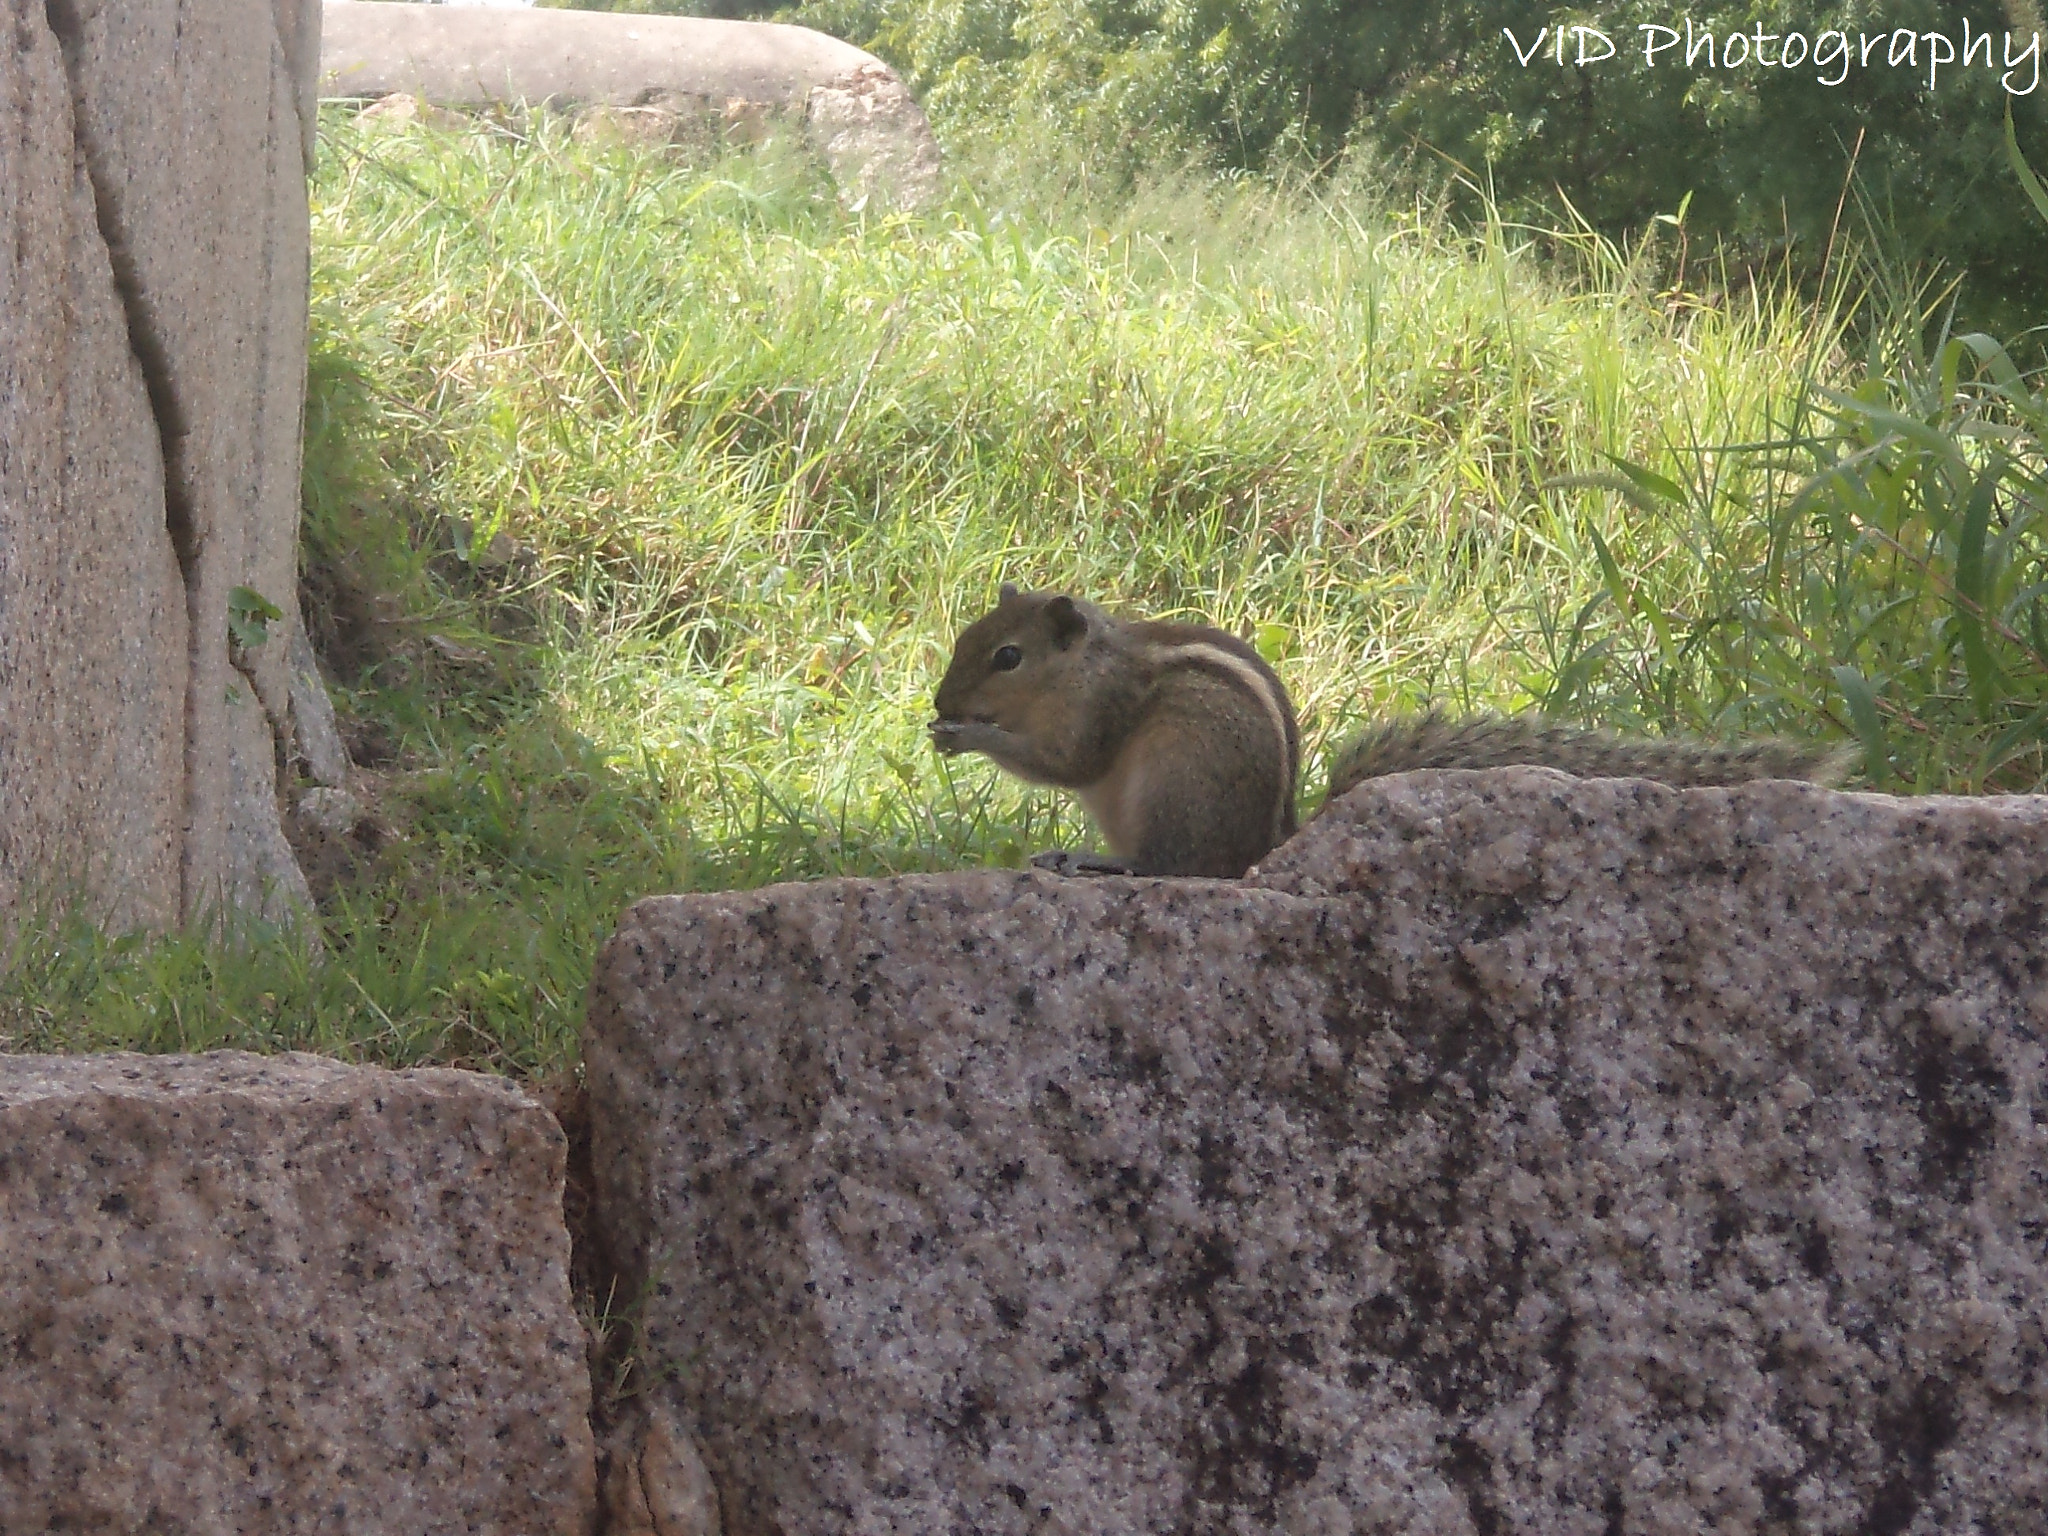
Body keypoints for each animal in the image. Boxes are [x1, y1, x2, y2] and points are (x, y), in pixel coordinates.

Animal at [933, 585, 1859, 876]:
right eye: (968, 634)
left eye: (1008, 656)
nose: (938, 700)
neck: (1087, 664)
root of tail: (1272, 839)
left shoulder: (1105, 712)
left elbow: (1063, 761)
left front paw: (966, 736)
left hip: (1175, 787)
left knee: (1180, 868)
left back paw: (1100, 861)